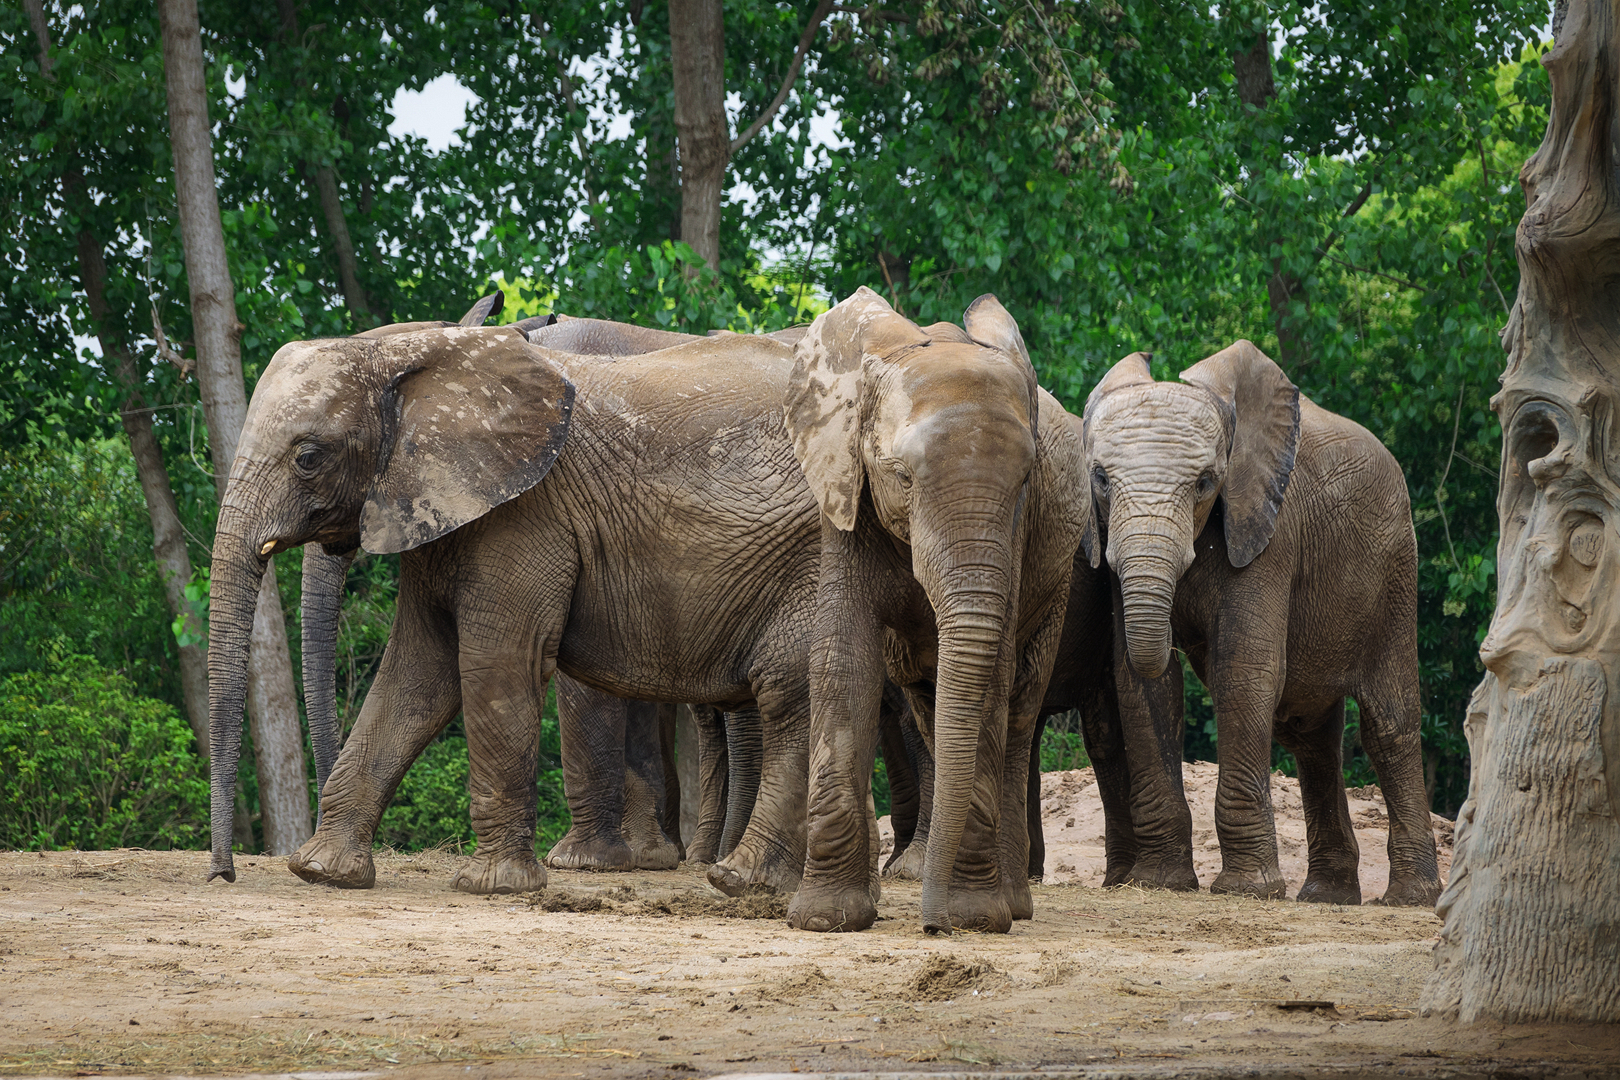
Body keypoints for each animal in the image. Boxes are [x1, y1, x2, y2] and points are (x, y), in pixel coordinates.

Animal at [783, 288, 1093, 934]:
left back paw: (1012, 905)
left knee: (1020, 708)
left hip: (1058, 578)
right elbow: (842, 657)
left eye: (1025, 480)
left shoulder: (1017, 534)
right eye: (901, 475)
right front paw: (826, 918)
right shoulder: (845, 494)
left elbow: (994, 674)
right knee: (929, 706)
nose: (932, 925)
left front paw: (974, 918)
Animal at [1080, 340, 1441, 906]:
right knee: (1310, 735)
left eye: (1205, 482)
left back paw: (1409, 898)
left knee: (1389, 724)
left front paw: (1247, 890)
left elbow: (1243, 669)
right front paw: (1160, 882)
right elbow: (1143, 683)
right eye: (1100, 479)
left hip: (1397, 570)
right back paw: (1326, 895)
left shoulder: (1271, 529)